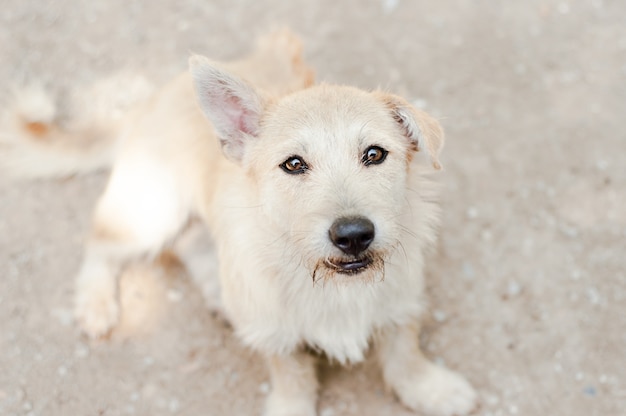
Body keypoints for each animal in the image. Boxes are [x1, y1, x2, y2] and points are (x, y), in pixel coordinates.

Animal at [2, 30, 476, 414]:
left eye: (375, 154)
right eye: (294, 164)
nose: (354, 235)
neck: (329, 284)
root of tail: (152, 100)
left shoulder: (401, 300)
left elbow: (404, 352)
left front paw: (430, 389)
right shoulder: (273, 329)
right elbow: (291, 378)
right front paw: (291, 407)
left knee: (189, 244)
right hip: (149, 212)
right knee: (100, 243)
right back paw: (95, 304)